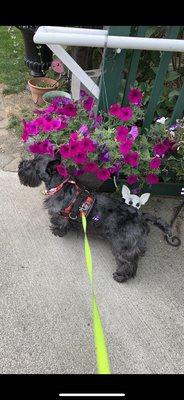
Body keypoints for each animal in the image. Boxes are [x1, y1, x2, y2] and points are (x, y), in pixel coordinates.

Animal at [17, 152, 180, 282]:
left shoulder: (60, 215)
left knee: (128, 263)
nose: (21, 164)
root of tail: (141, 216)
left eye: (33, 164)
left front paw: (56, 231)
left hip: (123, 246)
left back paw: (121, 276)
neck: (60, 185)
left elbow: (60, 224)